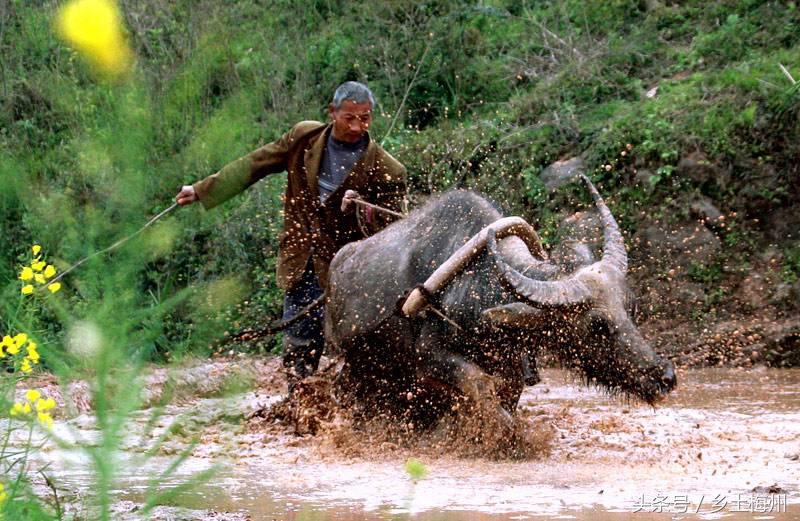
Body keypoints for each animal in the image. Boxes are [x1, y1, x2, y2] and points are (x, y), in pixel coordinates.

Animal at [324, 175, 676, 426]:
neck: (478, 287)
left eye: (630, 308)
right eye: (597, 325)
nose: (665, 377)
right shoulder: (429, 355)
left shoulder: (513, 366)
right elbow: (480, 386)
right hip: (354, 362)